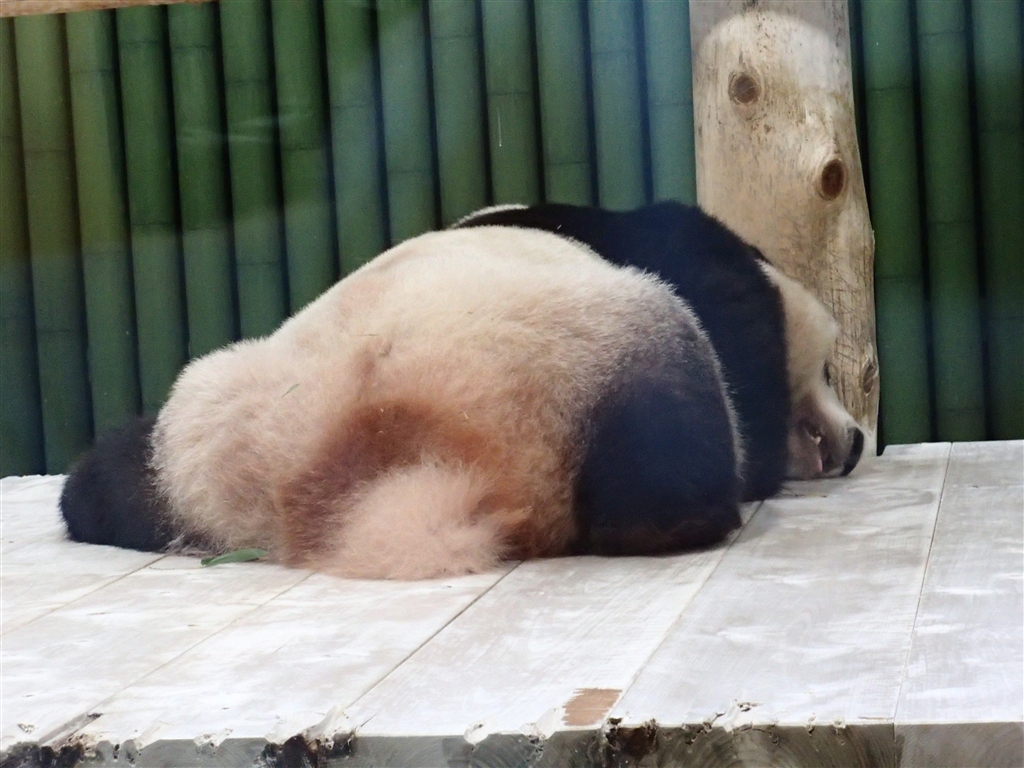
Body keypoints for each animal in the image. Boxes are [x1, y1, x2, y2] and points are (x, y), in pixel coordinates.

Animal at [60, 203, 864, 580]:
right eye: (827, 371)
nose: (854, 443)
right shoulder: (696, 266)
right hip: (594, 342)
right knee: (665, 457)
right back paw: (684, 516)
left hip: (205, 417)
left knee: (111, 473)